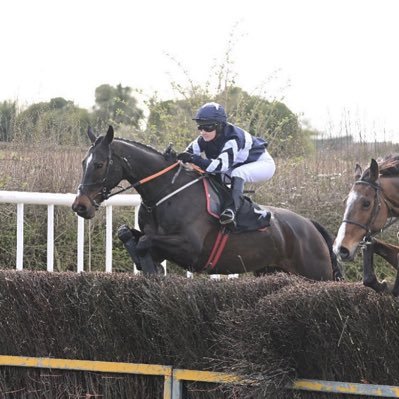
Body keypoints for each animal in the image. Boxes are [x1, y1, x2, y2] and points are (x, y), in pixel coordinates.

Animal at [71, 127, 340, 282]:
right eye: (83, 162)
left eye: (99, 164)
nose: (80, 206)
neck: (166, 191)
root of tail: (311, 226)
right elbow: (126, 233)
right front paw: (145, 261)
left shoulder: (191, 248)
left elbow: (146, 242)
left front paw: (150, 267)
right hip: (271, 270)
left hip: (316, 274)